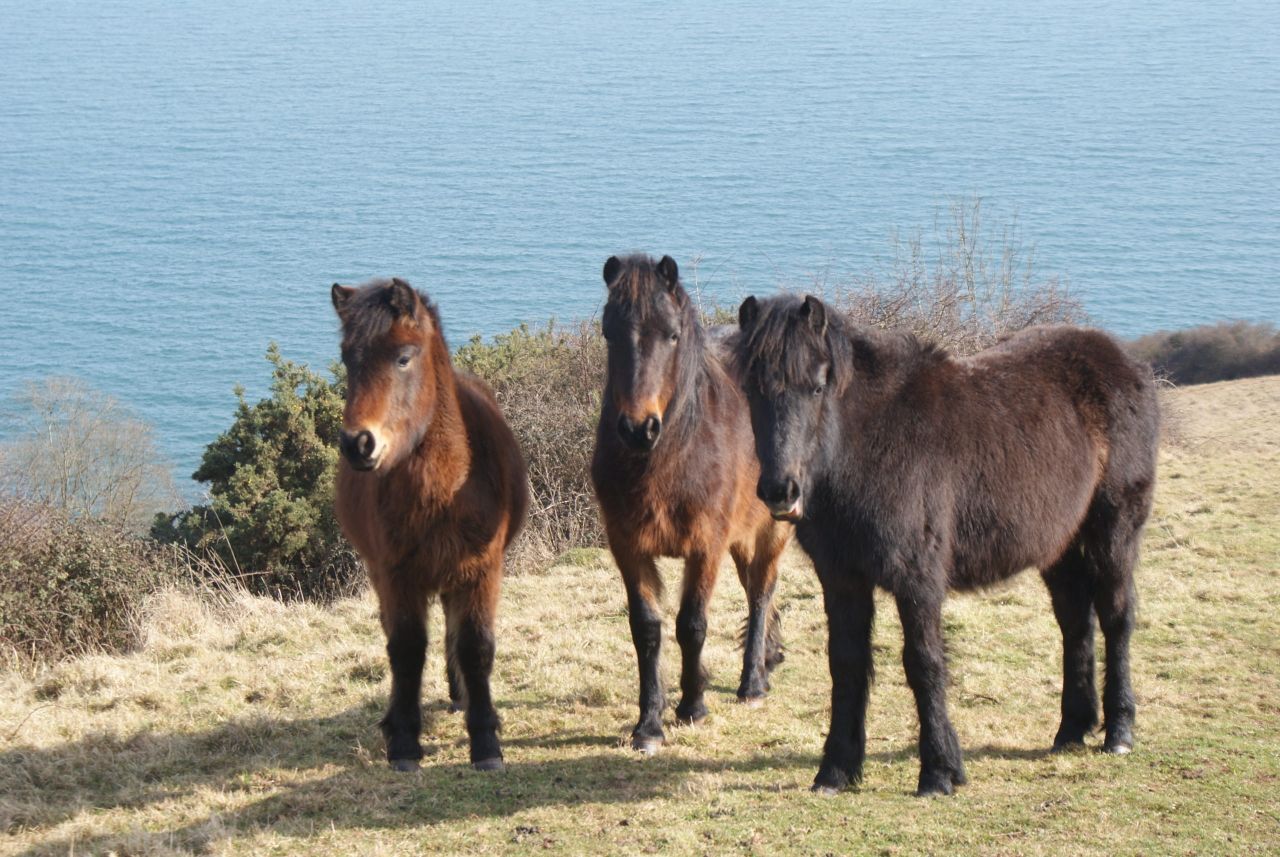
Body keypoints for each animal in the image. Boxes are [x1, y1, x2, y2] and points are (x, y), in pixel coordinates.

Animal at [331, 277, 529, 772]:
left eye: (403, 357)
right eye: (347, 358)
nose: (358, 443)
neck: (445, 487)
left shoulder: (481, 571)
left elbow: (476, 646)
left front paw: (485, 740)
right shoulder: (396, 575)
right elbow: (405, 650)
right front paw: (403, 741)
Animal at [591, 254, 791, 754]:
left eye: (672, 334)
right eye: (609, 332)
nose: (638, 429)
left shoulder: (705, 546)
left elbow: (691, 624)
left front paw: (692, 705)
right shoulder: (629, 548)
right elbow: (647, 629)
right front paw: (649, 724)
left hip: (773, 527)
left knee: (762, 590)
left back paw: (752, 683)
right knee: (753, 588)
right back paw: (767, 659)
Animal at [733, 293, 1158, 796]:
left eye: (817, 387)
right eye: (753, 388)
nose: (781, 492)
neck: (870, 446)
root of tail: (1125, 363)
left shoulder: (918, 578)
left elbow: (924, 663)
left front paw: (939, 772)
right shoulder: (841, 578)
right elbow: (846, 663)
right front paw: (836, 770)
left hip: (1114, 533)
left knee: (1116, 618)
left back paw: (1119, 731)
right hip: (1061, 549)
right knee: (1075, 623)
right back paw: (1072, 730)